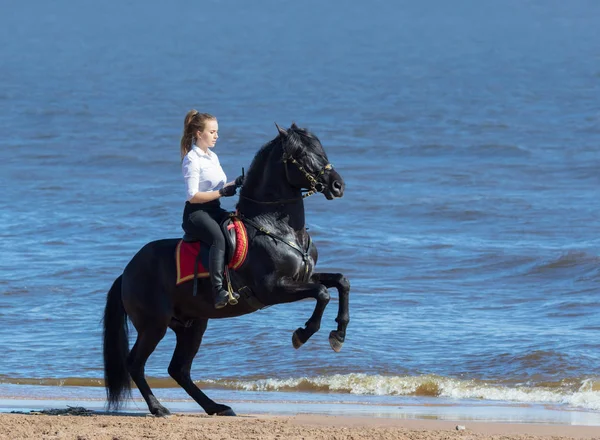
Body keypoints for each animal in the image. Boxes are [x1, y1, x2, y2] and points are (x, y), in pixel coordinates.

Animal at [101, 121, 350, 416]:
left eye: (321, 149)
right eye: (302, 155)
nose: (338, 185)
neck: (277, 228)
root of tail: (126, 272)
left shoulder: (303, 277)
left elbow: (340, 281)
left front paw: (339, 334)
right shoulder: (273, 289)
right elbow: (322, 292)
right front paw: (302, 334)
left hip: (192, 324)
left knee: (178, 369)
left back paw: (216, 407)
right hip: (154, 325)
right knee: (135, 363)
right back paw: (159, 408)